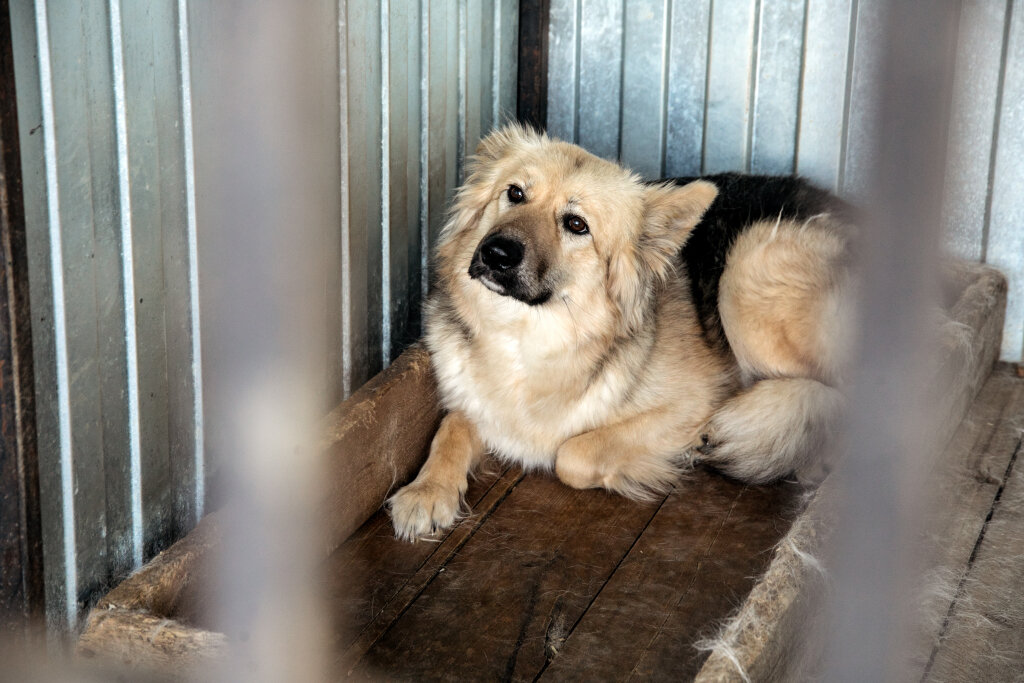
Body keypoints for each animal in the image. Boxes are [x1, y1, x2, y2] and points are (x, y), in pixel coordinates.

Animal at [387, 122, 851, 540]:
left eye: (576, 225)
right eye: (515, 193)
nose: (496, 253)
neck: (525, 337)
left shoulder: (692, 403)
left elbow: (570, 455)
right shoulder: (475, 400)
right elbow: (452, 425)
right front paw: (427, 489)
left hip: (750, 267)